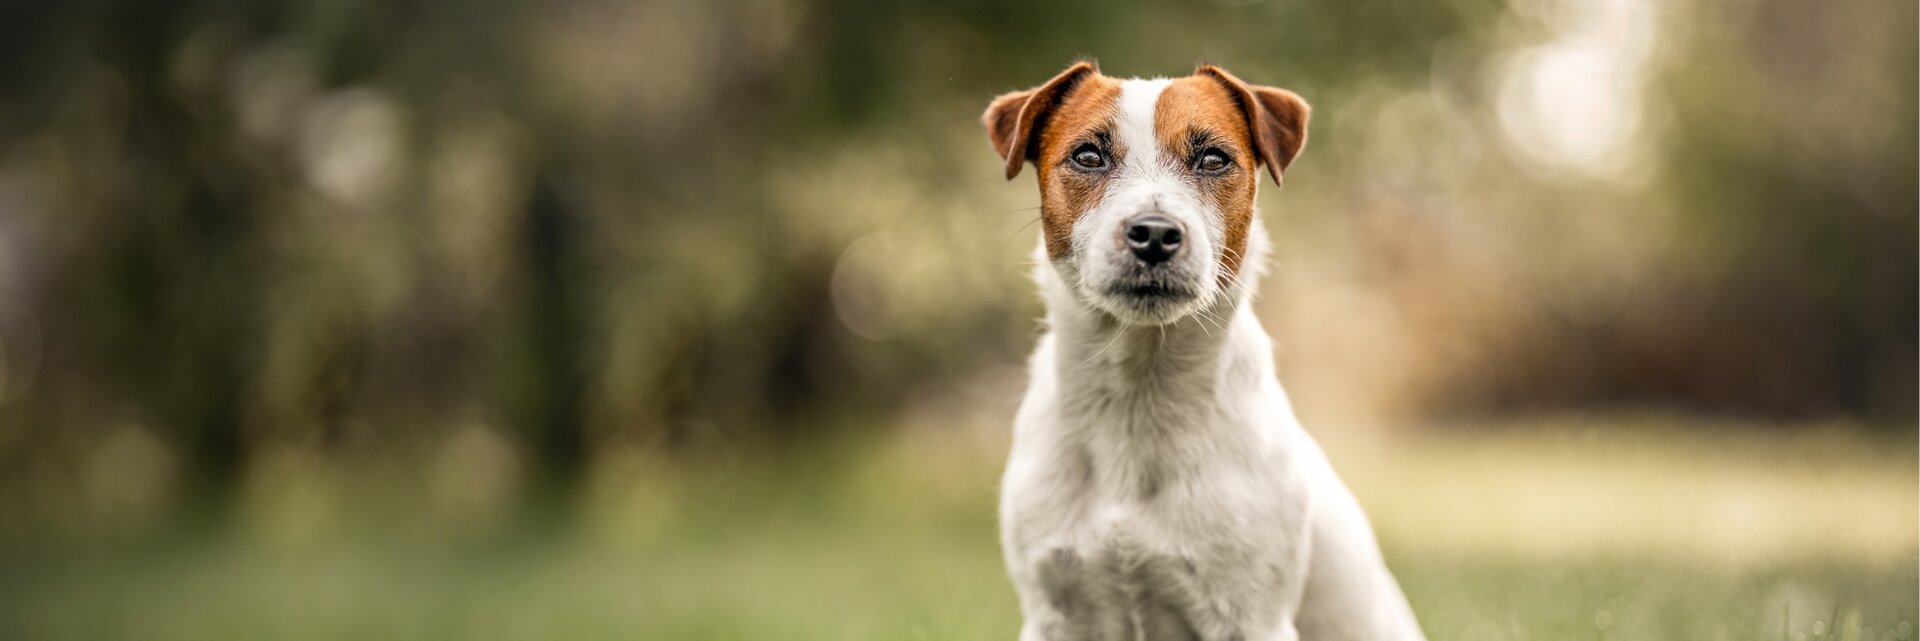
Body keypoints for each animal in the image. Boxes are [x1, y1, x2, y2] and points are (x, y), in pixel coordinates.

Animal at [990, 63, 1428, 641]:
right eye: (1088, 156)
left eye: (1213, 158)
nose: (1154, 234)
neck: (1139, 394)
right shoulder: (1055, 613)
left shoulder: (1250, 617)